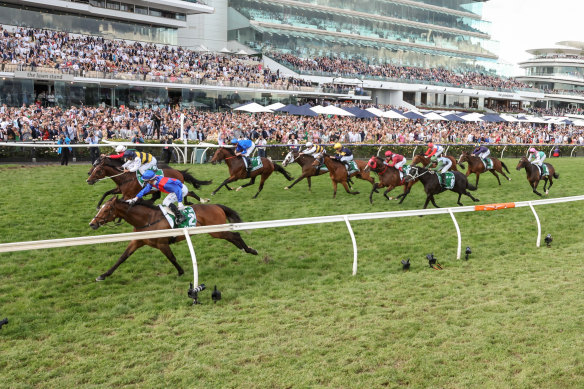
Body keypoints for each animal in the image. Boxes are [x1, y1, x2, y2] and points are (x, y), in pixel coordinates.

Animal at [89, 196, 258, 280]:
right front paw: (104, 275)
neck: (147, 219)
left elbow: (172, 258)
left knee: (235, 235)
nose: (92, 223)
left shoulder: (162, 243)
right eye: (101, 208)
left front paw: (181, 272)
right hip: (216, 231)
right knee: (233, 237)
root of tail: (216, 206)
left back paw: (250, 250)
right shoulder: (137, 241)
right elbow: (122, 257)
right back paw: (246, 249)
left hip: (217, 231)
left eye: (107, 210)